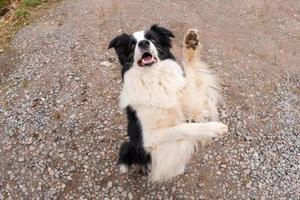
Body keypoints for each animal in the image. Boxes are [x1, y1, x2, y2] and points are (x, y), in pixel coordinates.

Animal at [108, 24, 227, 181]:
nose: (143, 43)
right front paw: (214, 128)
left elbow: (190, 75)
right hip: (127, 146)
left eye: (152, 39)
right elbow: (182, 128)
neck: (154, 78)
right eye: (132, 45)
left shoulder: (192, 108)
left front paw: (191, 43)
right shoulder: (148, 137)